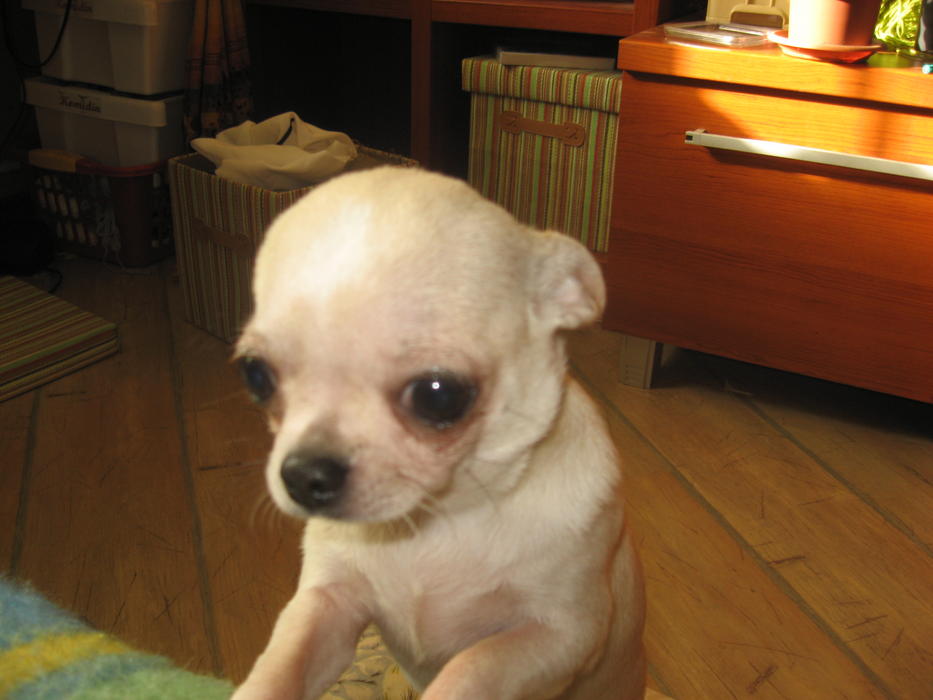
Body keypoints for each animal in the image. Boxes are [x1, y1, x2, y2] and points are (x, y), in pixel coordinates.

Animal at [231, 167, 646, 700]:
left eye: (439, 395)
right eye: (255, 375)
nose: (305, 475)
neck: (443, 517)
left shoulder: (561, 635)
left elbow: (474, 666)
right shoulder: (329, 602)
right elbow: (283, 662)